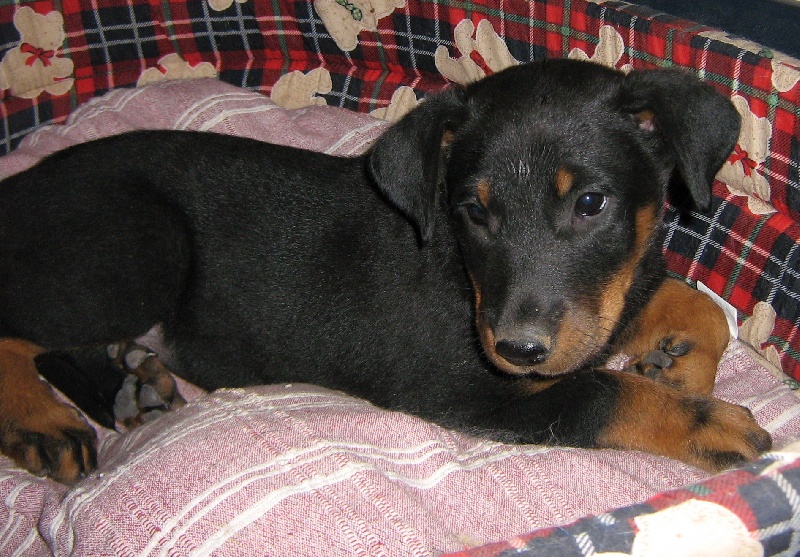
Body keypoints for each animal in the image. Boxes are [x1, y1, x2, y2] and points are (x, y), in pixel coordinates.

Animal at [0, 59, 771, 484]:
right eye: (472, 211)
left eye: (590, 203)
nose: (518, 349)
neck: (464, 276)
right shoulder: (470, 387)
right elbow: (599, 393)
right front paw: (709, 421)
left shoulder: (604, 300)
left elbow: (692, 305)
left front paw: (679, 361)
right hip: (140, 245)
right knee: (19, 328)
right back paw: (45, 426)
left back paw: (129, 386)